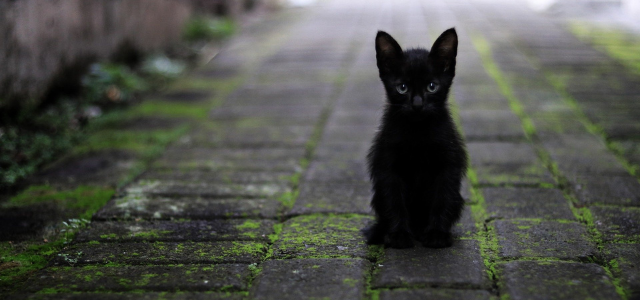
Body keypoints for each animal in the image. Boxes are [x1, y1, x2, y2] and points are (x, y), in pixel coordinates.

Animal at [368, 28, 468, 248]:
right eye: (402, 88)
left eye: (432, 86)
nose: (417, 104)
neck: (418, 132)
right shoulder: (388, 166)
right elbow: (394, 200)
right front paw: (399, 235)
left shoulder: (448, 164)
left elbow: (442, 198)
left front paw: (437, 233)